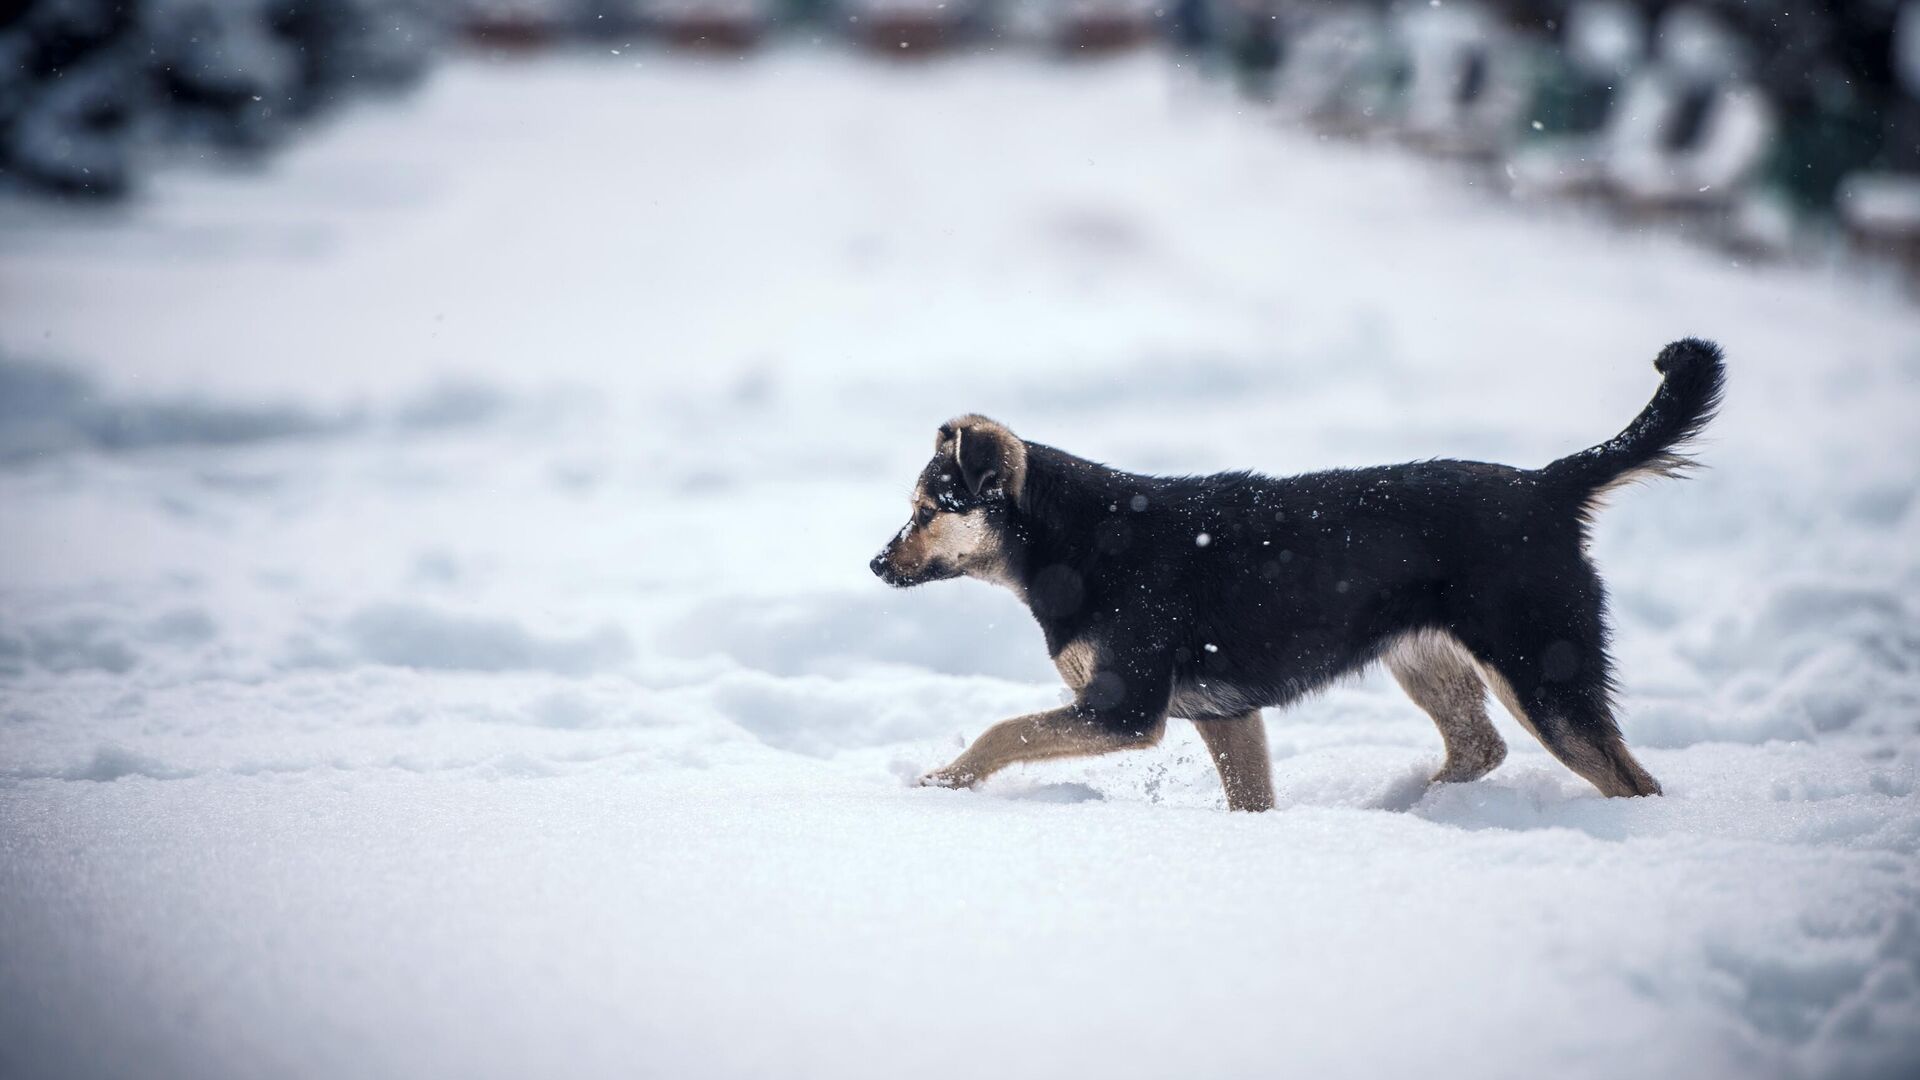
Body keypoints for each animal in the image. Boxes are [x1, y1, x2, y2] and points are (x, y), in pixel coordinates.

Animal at [871, 338, 1728, 807]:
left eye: (927, 509)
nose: (876, 563)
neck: (1074, 540)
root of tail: (1548, 486)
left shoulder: (1125, 709)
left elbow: (1001, 730)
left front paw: (938, 786)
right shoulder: (1226, 715)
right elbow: (1250, 800)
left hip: (1542, 669)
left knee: (1629, 781)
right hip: (1428, 659)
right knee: (1478, 748)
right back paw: (1413, 808)